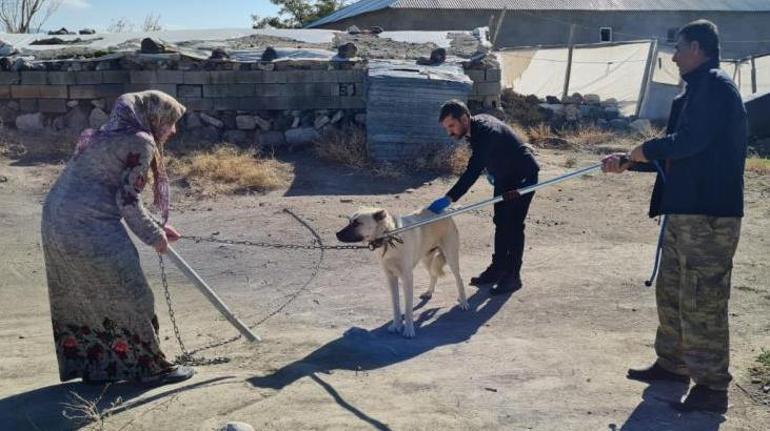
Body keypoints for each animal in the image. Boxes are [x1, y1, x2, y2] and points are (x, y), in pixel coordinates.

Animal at [332, 208, 464, 340]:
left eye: (357, 223)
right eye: (349, 221)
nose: (337, 234)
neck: (389, 238)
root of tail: (446, 211)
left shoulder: (407, 277)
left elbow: (408, 307)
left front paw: (409, 330)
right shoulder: (391, 277)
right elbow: (395, 305)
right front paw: (396, 325)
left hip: (451, 257)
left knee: (459, 279)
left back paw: (463, 302)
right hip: (426, 258)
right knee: (433, 274)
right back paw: (429, 292)